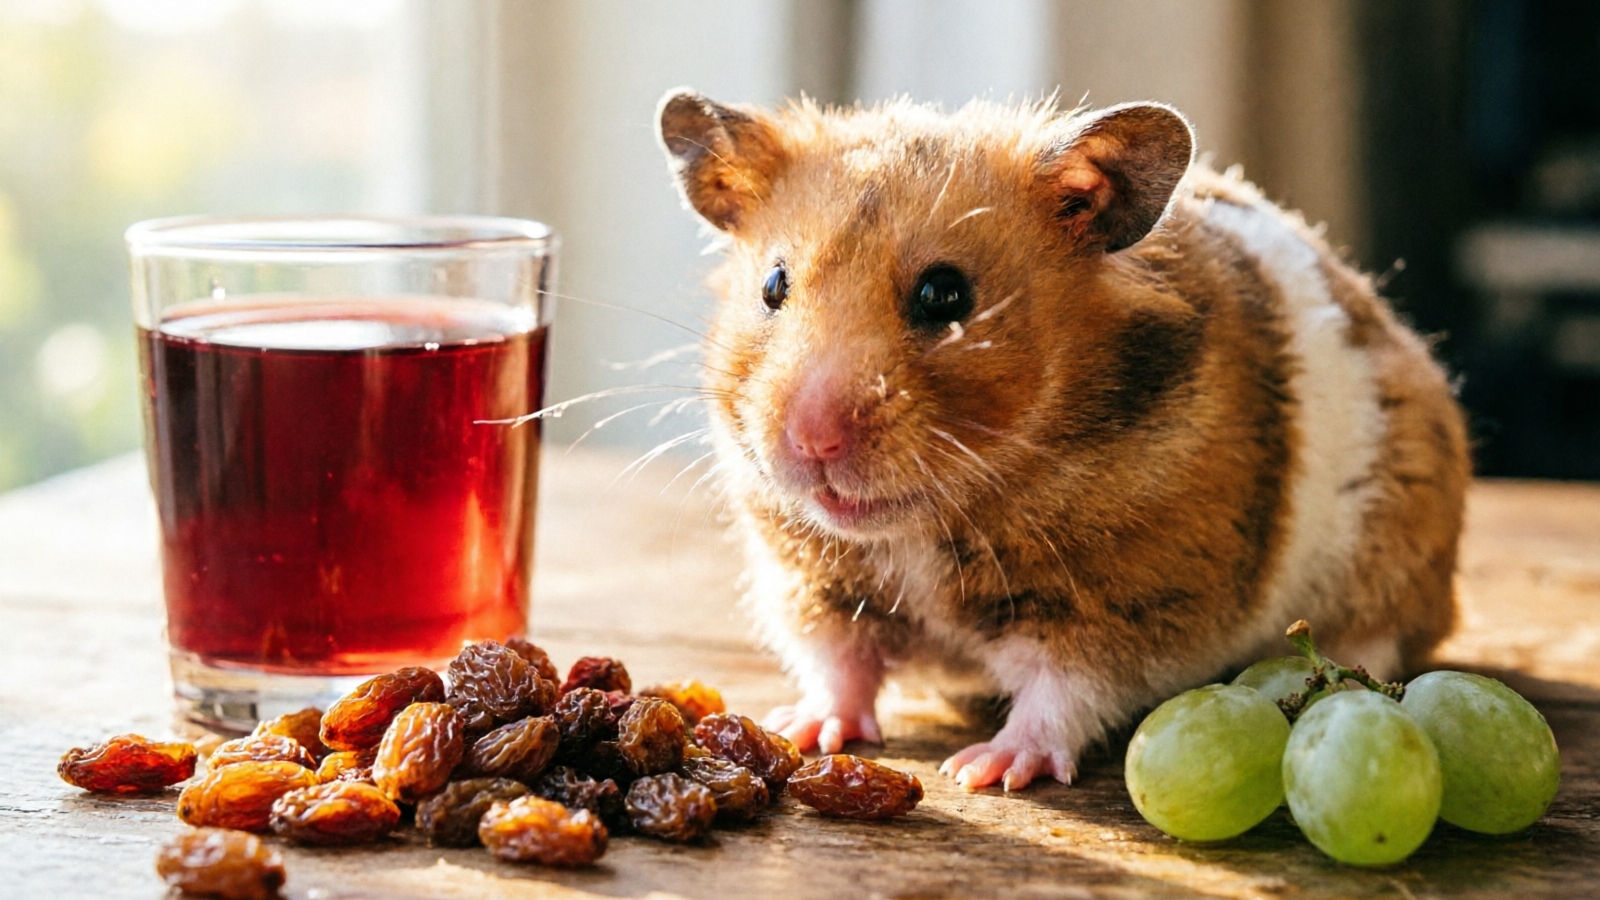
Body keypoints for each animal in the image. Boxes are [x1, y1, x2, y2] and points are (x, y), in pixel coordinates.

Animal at [655, 89, 1469, 791]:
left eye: (944, 295)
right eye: (773, 286)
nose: (811, 441)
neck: (930, 519)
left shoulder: (1129, 601)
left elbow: (1064, 691)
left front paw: (984, 770)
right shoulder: (815, 581)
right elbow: (839, 664)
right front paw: (799, 731)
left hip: (1394, 554)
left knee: (1381, 638)